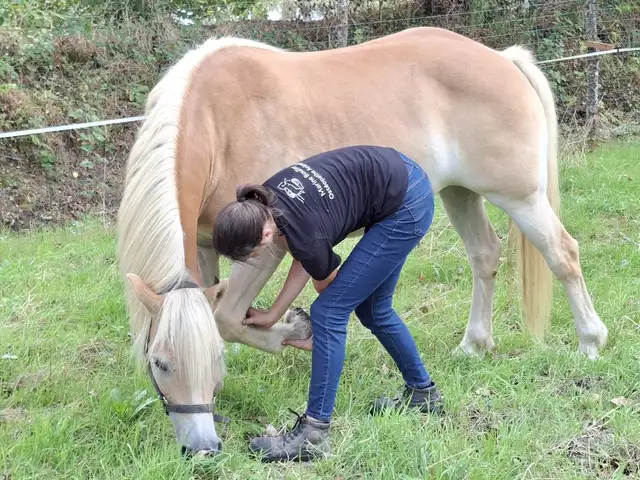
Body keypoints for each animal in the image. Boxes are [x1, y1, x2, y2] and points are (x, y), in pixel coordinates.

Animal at [115, 26, 608, 456]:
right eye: (158, 362)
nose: (200, 448)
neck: (220, 123)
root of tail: (503, 59)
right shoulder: (202, 248)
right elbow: (218, 316)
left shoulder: (267, 247)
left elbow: (228, 319)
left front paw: (295, 331)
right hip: (459, 193)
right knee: (485, 256)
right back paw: (474, 345)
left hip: (521, 197)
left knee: (563, 254)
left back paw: (589, 343)